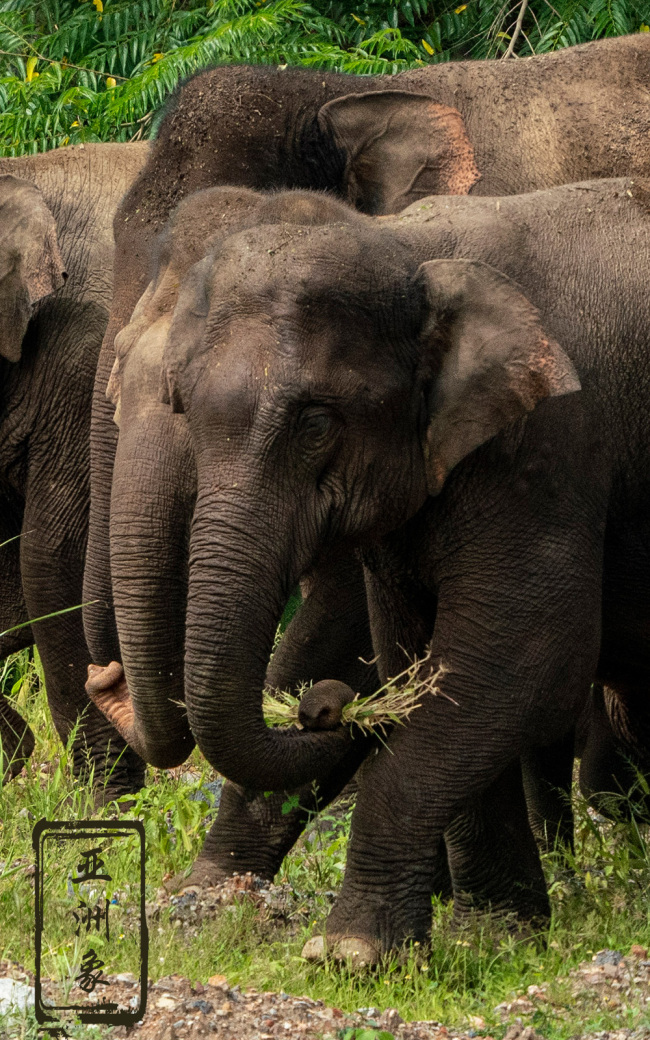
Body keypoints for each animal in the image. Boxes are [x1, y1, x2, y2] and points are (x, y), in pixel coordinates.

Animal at [88, 174, 648, 960]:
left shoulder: (550, 452)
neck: (407, 247)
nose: (323, 706)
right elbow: (417, 657)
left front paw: (350, 950)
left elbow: (523, 658)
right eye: (186, 408)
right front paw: (493, 937)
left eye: (316, 424)